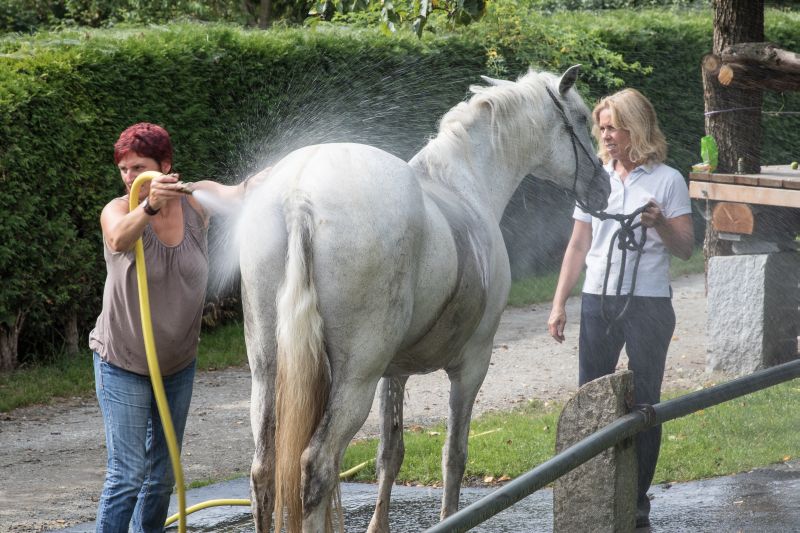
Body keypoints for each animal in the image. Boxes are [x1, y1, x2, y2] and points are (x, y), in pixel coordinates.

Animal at [238, 64, 612, 528]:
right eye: (581, 118)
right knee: (315, 467)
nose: (603, 187)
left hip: (268, 373)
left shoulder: (393, 373)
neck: (465, 182)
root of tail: (298, 194)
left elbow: (390, 455)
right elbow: (454, 455)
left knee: (264, 472)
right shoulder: (471, 366)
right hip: (354, 380)